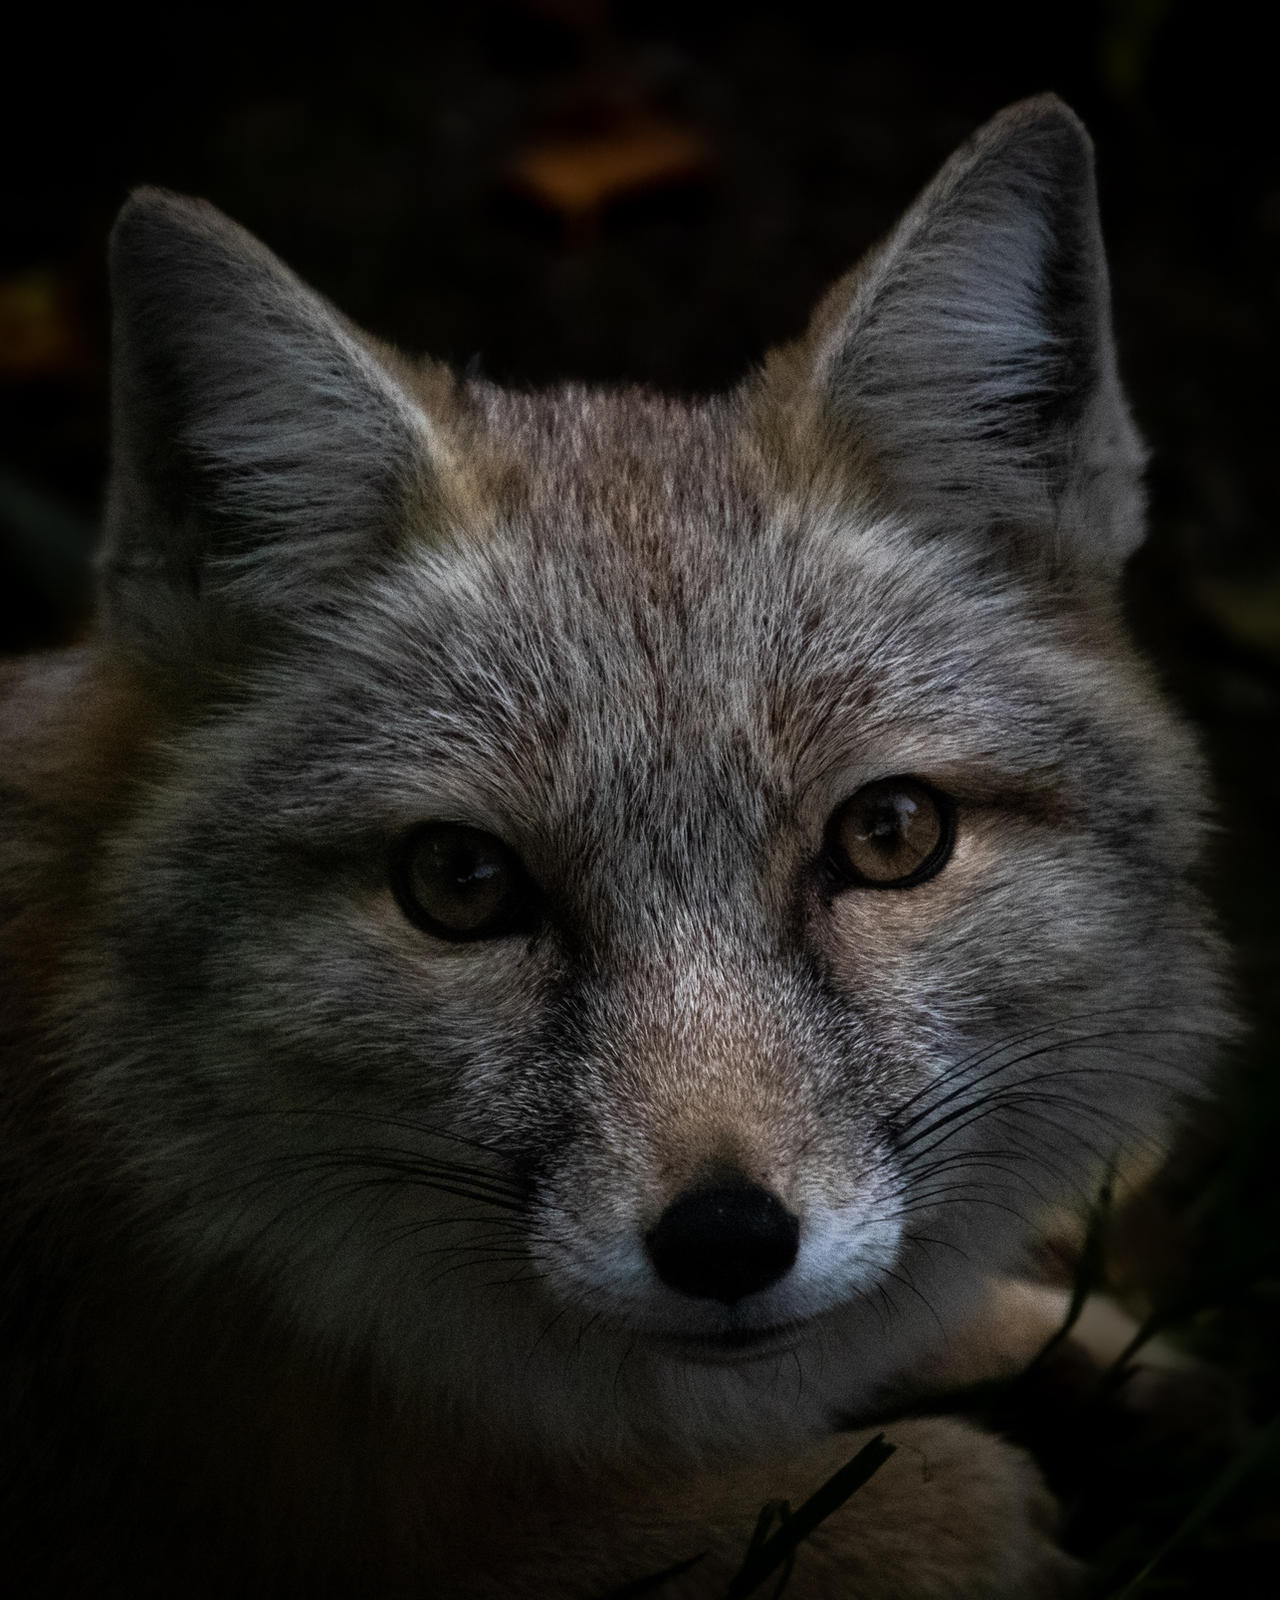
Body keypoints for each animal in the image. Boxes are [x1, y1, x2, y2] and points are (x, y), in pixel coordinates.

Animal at [0, 95, 1228, 1596]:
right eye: (459, 884)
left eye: (889, 835)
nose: (726, 1245)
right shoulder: (329, 1539)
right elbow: (861, 1500)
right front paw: (957, 1490)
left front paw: (1073, 1348)